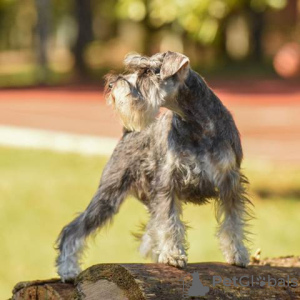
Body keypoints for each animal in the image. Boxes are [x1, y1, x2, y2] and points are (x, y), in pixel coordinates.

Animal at [55, 51, 252, 282]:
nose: (112, 84)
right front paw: (173, 255)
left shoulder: (230, 182)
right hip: (108, 195)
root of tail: (128, 132)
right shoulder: (168, 183)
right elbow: (169, 222)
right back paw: (68, 270)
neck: (197, 127)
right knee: (73, 230)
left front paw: (238, 254)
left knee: (150, 228)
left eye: (147, 71)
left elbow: (233, 221)